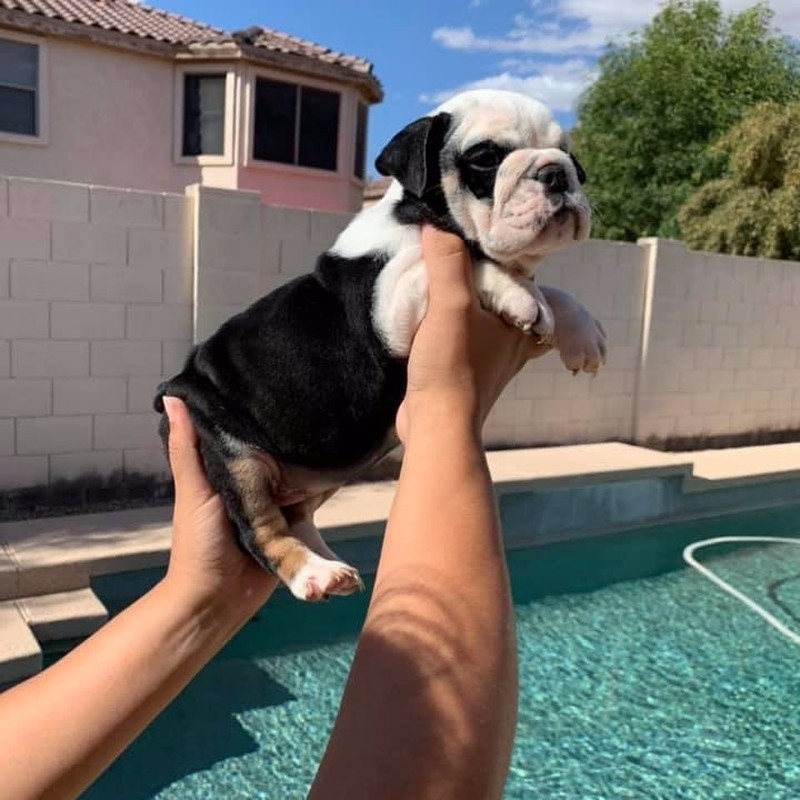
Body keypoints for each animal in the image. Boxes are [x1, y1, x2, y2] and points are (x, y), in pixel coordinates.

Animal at [155, 89, 608, 600]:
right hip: (233, 451)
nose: (557, 172)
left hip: (316, 474)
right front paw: (517, 293)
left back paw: (331, 567)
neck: (417, 214)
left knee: (295, 514)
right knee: (260, 530)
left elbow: (549, 287)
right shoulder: (390, 306)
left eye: (570, 157)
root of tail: (176, 384)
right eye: (485, 158)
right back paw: (311, 572)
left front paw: (581, 330)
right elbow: (471, 260)